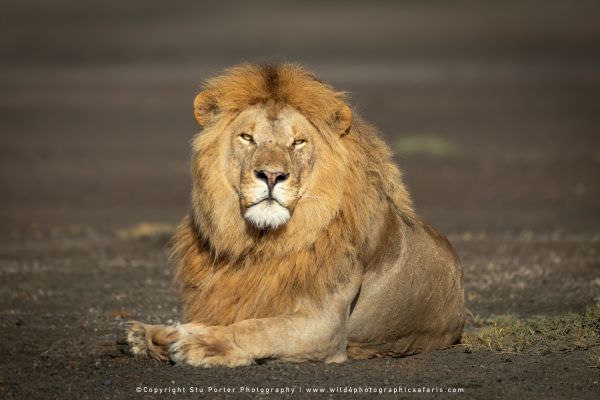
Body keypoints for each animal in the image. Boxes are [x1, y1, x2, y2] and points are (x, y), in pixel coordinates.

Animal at [125, 64, 464, 368]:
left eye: (298, 141)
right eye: (247, 137)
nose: (272, 175)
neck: (261, 241)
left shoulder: (325, 325)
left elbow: (259, 328)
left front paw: (201, 344)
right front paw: (149, 334)